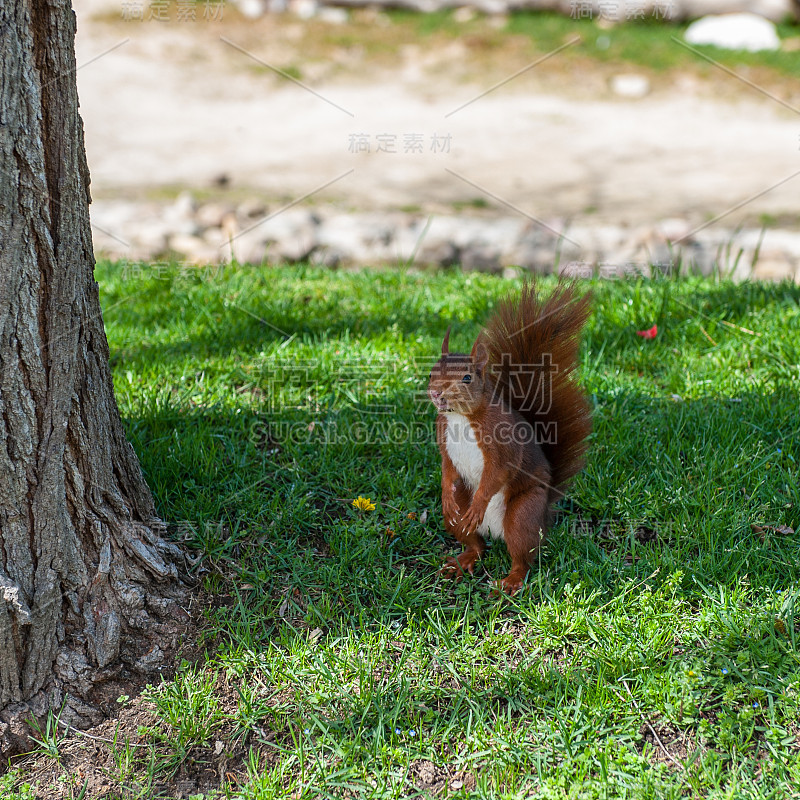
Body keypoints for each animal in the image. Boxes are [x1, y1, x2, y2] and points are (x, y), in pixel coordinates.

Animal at [428, 282, 592, 592]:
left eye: (467, 378)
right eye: (431, 371)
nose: (435, 393)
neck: (461, 418)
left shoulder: (502, 442)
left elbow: (498, 471)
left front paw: (479, 503)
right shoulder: (443, 438)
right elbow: (446, 467)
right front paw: (445, 494)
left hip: (522, 513)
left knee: (522, 557)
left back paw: (511, 581)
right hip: (458, 519)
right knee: (477, 544)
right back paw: (462, 560)